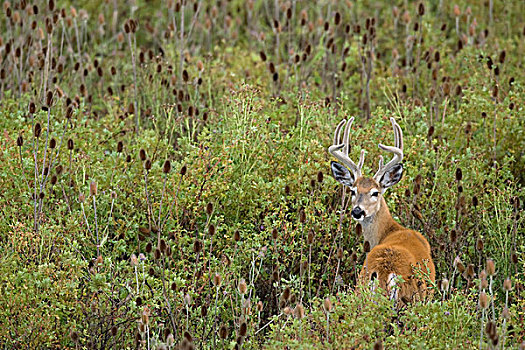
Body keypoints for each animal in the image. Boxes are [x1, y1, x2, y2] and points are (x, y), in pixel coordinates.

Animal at [328, 117, 434, 304]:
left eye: (375, 192)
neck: (389, 231)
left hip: (360, 287)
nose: (357, 211)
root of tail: (385, 270)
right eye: (353, 191)